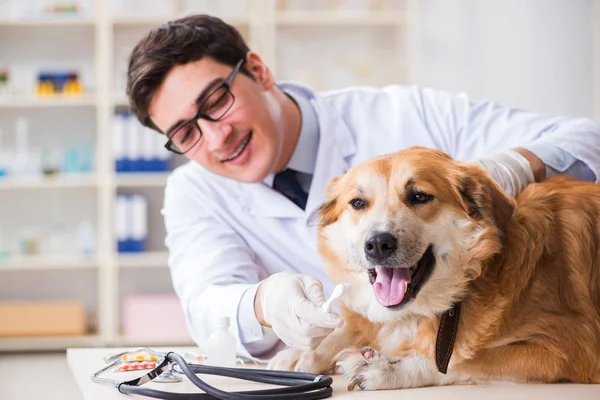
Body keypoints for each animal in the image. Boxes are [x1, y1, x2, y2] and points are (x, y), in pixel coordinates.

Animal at [268, 145, 600, 390]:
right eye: (358, 203)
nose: (377, 244)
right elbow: (347, 328)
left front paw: (385, 367)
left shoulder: (569, 347)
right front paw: (304, 352)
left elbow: (461, 361)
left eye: (419, 196)